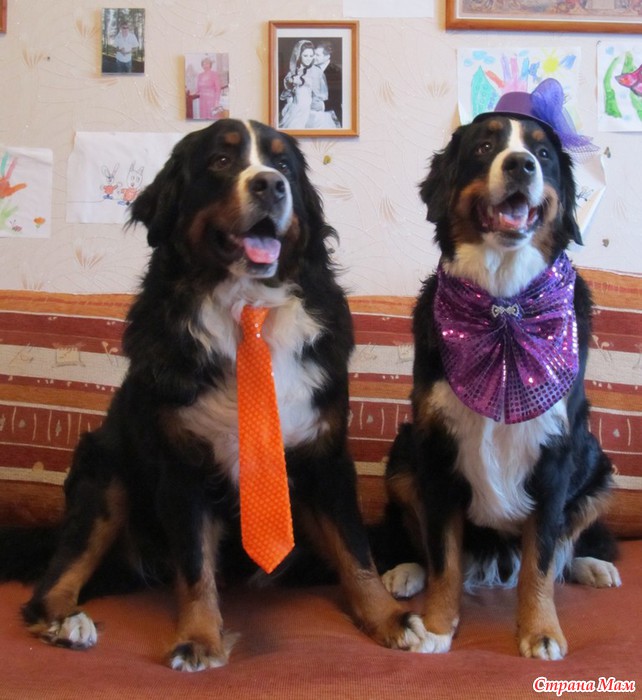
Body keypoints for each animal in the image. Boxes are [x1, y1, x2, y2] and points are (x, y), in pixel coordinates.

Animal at [2, 120, 427, 670]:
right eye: (221, 162)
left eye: (283, 163)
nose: (270, 185)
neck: (247, 304)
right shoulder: (183, 467)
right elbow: (194, 565)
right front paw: (200, 638)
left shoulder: (326, 459)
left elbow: (357, 554)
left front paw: (389, 620)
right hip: (106, 474)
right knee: (58, 574)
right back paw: (64, 621)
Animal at [379, 102, 621, 660]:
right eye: (485, 146)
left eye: (544, 153)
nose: (520, 165)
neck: (503, 303)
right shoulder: (437, 448)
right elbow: (444, 554)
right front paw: (437, 626)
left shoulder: (556, 454)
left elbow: (541, 558)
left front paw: (541, 632)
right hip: (403, 450)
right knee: (412, 534)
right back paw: (403, 570)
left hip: (598, 463)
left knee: (570, 540)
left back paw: (593, 564)